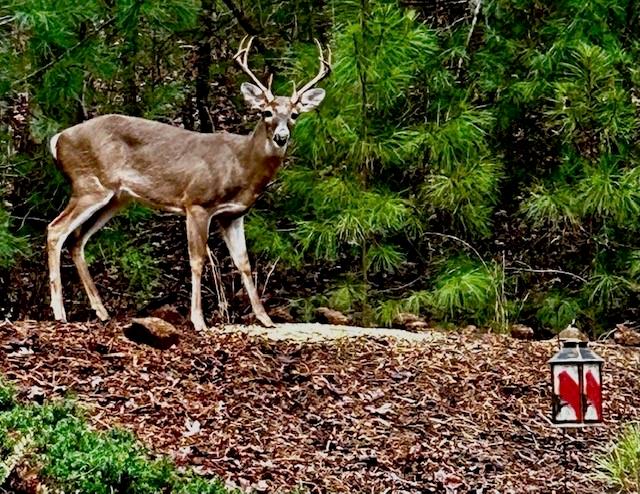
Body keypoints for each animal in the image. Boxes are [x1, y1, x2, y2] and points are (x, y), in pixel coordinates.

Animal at [46, 37, 330, 332]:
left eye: (295, 114)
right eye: (266, 112)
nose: (281, 136)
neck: (240, 165)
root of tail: (58, 139)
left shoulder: (234, 214)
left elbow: (244, 262)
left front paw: (265, 318)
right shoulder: (196, 203)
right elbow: (197, 260)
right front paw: (198, 320)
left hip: (115, 198)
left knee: (77, 240)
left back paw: (101, 311)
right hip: (89, 185)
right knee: (56, 229)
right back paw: (59, 312)